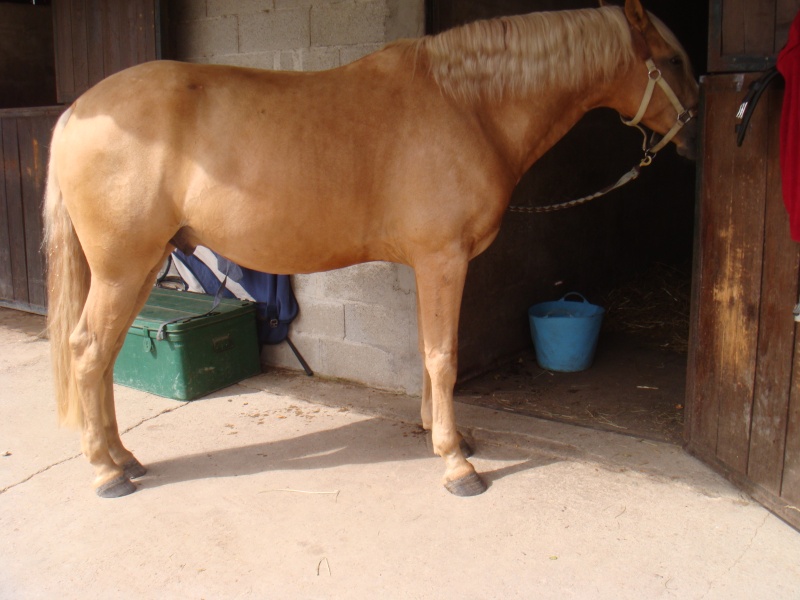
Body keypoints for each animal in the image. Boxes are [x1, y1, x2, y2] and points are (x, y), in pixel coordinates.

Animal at [43, 0, 692, 496]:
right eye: (674, 60)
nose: (694, 132)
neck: (466, 106)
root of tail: (76, 112)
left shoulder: (430, 264)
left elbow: (428, 351)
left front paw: (441, 433)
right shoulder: (443, 260)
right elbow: (442, 356)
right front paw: (456, 463)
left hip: (142, 267)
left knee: (102, 356)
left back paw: (124, 458)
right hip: (123, 268)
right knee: (88, 351)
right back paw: (106, 473)